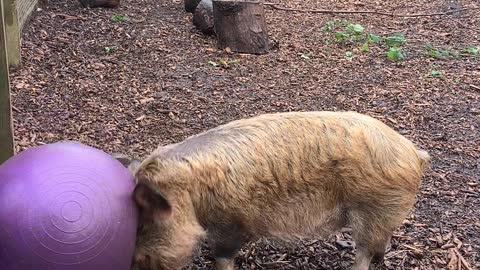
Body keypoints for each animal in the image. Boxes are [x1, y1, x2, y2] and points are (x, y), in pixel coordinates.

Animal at [117, 110, 432, 270]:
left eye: (142, 225)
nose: (133, 262)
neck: (192, 194)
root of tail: (414, 153)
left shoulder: (232, 222)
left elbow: (223, 255)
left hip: (371, 209)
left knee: (364, 253)